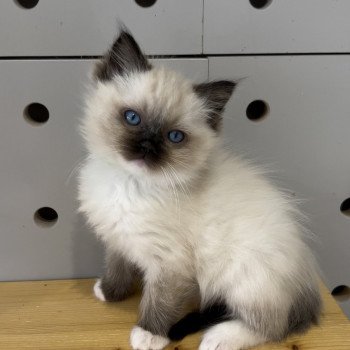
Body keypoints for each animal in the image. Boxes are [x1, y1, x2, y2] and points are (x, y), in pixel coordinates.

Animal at [78, 30, 322, 350]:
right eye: (132, 118)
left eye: (174, 137)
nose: (148, 146)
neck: (130, 184)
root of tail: (305, 275)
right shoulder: (118, 239)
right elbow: (117, 266)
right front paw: (108, 291)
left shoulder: (170, 264)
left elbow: (159, 301)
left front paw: (149, 334)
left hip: (245, 278)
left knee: (271, 326)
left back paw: (218, 338)